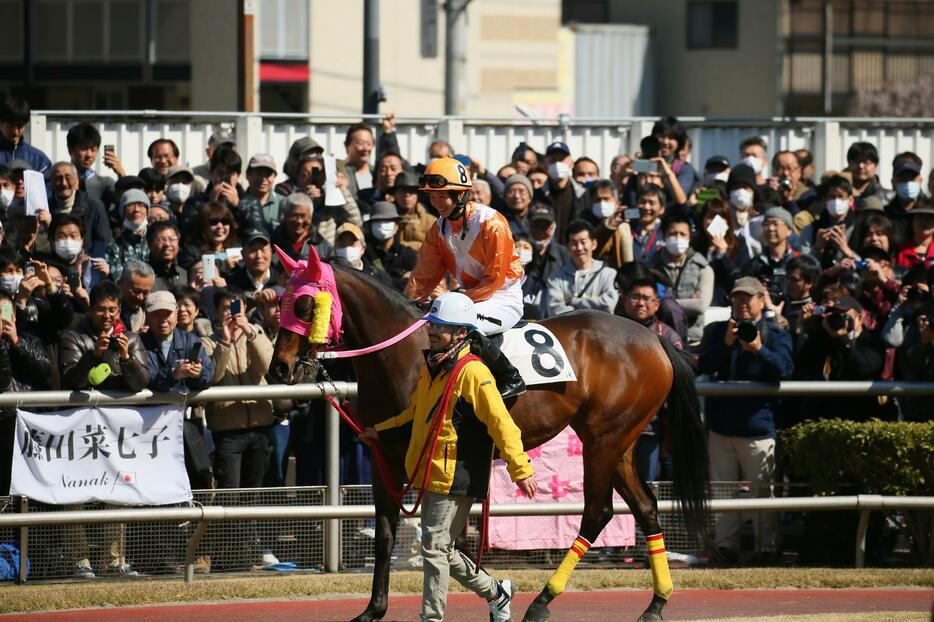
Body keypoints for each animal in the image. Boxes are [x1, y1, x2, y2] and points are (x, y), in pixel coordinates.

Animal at [266, 254, 712, 622]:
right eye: (279, 302)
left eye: (303, 304)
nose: (278, 369)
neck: (409, 358)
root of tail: (655, 339)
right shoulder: (385, 459)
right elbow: (389, 534)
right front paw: (374, 610)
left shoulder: (434, 460)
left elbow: (445, 540)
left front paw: (491, 592)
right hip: (619, 442)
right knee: (646, 508)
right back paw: (656, 604)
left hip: (603, 441)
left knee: (597, 512)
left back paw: (543, 602)